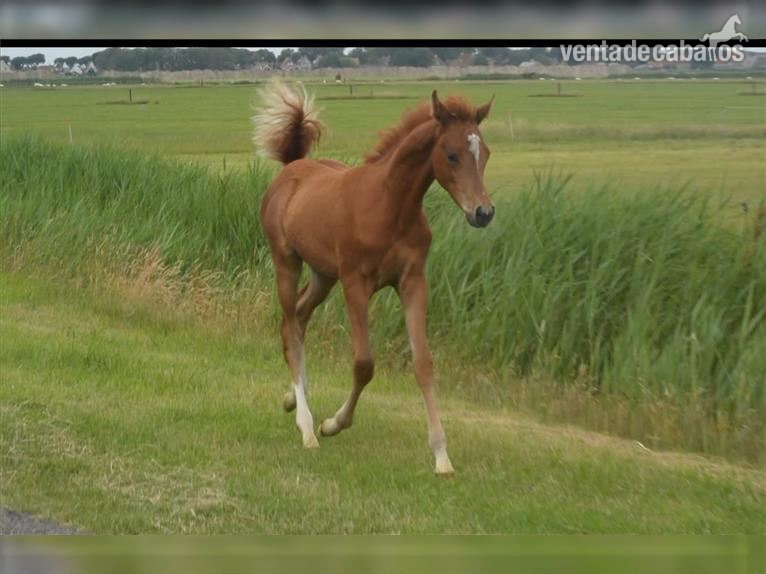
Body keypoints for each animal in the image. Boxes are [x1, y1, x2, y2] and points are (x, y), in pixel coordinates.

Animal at [253, 81, 495, 475]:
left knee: (299, 319)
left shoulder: (413, 282)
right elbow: (364, 363)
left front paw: (441, 455)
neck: (389, 206)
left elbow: (423, 363)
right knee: (290, 324)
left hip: (323, 275)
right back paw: (307, 425)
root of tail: (291, 168)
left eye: (485, 152)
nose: (483, 213)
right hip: (287, 262)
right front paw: (333, 424)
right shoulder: (356, 284)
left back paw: (294, 398)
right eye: (452, 154)